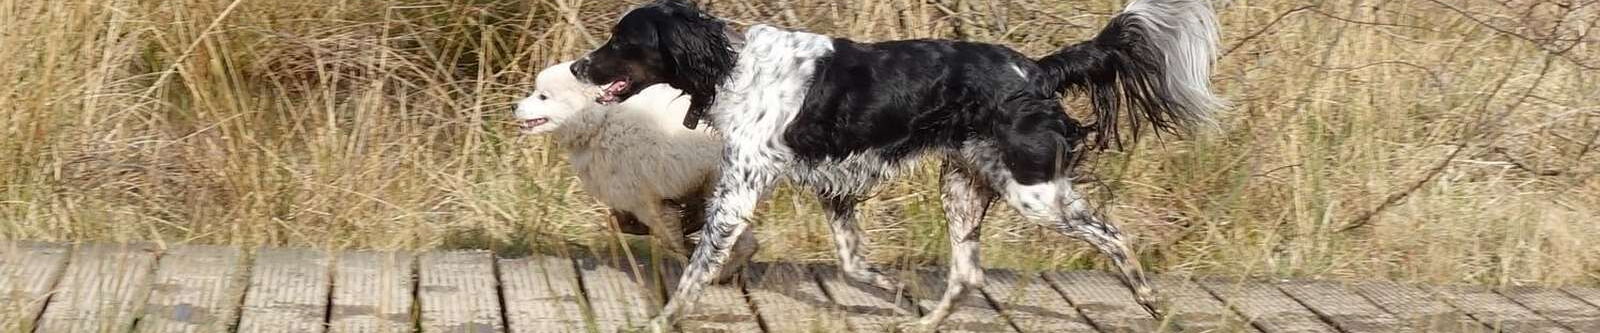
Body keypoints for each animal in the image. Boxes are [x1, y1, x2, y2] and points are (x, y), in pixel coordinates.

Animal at [515, 60, 758, 273]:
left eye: (543, 96)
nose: (513, 106)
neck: (600, 121)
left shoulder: (646, 200)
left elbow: (668, 237)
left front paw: (685, 248)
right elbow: (620, 221)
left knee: (745, 243)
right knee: (747, 241)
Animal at [576, 0, 1222, 329]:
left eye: (621, 40)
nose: (580, 66)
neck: (730, 63)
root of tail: (1035, 70)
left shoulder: (737, 196)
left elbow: (693, 273)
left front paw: (661, 320)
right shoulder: (833, 190)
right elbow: (854, 265)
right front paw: (898, 293)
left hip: (1033, 192)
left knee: (1112, 235)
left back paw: (1151, 300)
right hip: (962, 187)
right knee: (968, 275)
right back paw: (923, 322)